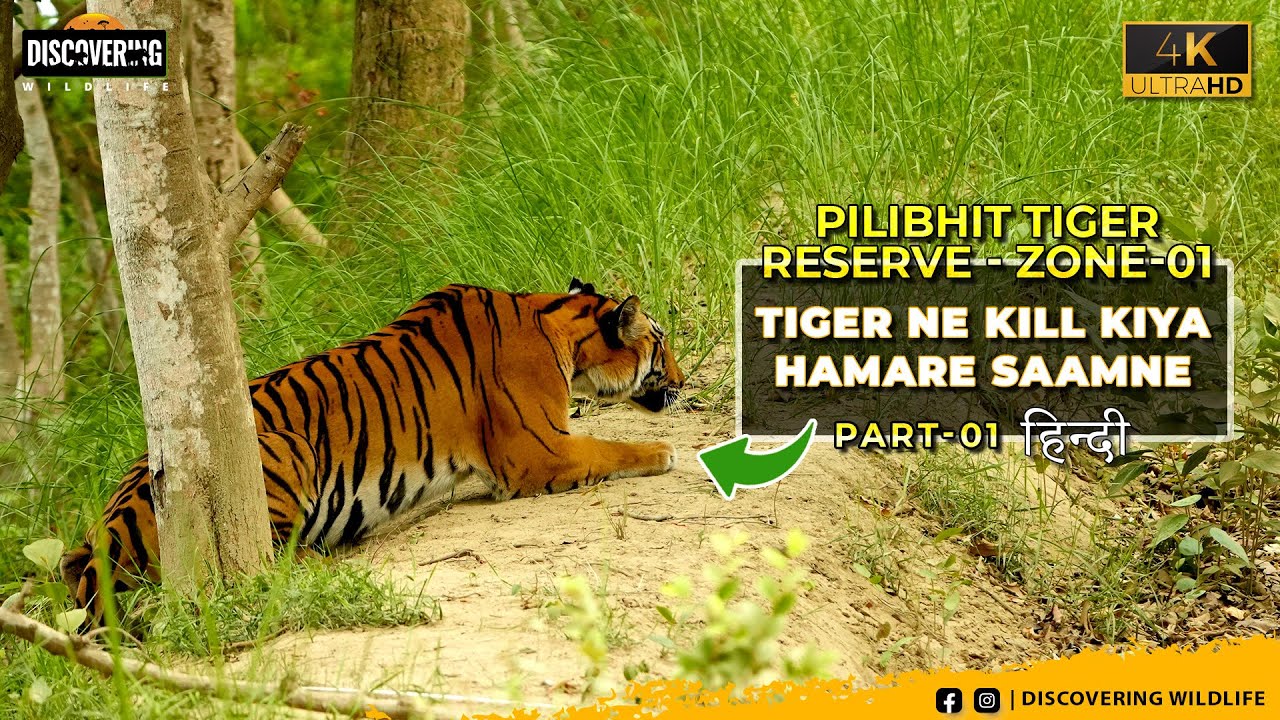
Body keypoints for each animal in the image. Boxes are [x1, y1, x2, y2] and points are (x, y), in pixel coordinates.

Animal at [61, 279, 685, 622]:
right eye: (661, 343)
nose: (682, 380)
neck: (552, 321)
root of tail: (111, 531)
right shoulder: (538, 451)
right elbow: (608, 448)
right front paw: (661, 450)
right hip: (287, 447)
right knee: (274, 557)